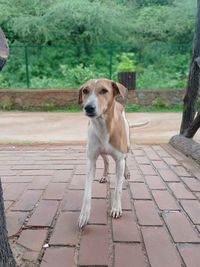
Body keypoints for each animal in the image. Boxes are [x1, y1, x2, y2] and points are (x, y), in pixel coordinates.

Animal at [78, 78, 130, 229]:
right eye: (85, 91)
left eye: (104, 91)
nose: (88, 107)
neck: (103, 126)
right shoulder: (91, 160)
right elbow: (87, 192)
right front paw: (84, 215)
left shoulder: (119, 160)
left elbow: (118, 188)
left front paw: (116, 208)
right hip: (101, 152)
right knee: (106, 160)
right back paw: (104, 175)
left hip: (128, 145)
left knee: (127, 158)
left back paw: (127, 173)